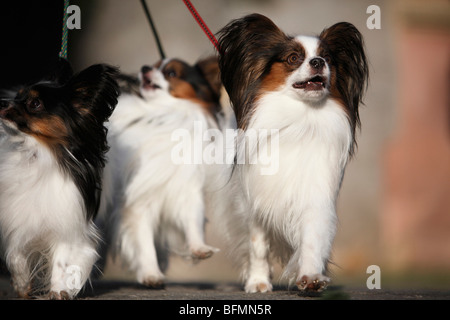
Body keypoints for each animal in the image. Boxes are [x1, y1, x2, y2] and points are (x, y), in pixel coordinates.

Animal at [0, 58, 119, 298]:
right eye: (17, 96)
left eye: (35, 103)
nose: (3, 103)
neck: (35, 153)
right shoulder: (16, 218)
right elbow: (16, 253)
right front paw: (22, 285)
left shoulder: (68, 227)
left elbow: (62, 262)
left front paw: (58, 291)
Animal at [98, 55, 225, 288]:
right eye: (153, 66)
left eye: (171, 73)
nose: (145, 68)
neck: (164, 116)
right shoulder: (137, 201)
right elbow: (144, 242)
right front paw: (151, 274)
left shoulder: (185, 190)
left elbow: (192, 221)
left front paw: (199, 248)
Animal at [215, 13, 370, 292]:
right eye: (293, 58)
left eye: (327, 58)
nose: (318, 62)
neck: (301, 118)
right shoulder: (255, 199)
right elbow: (257, 245)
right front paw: (258, 281)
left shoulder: (315, 193)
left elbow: (312, 237)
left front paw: (310, 276)